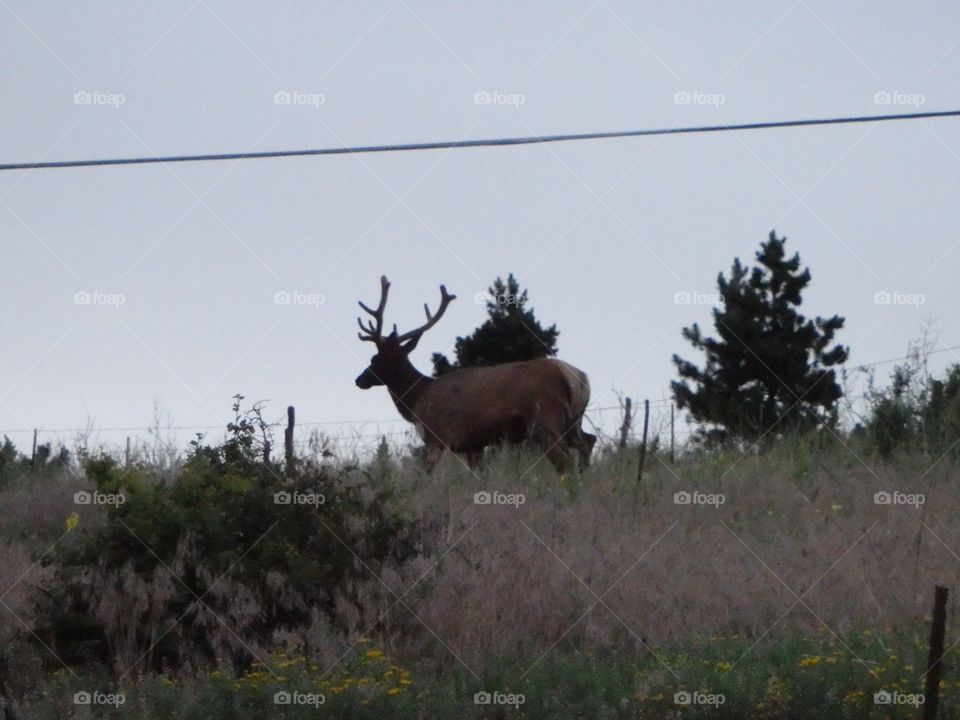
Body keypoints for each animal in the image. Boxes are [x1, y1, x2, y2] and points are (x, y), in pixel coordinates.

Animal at [355, 276, 596, 472]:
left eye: (374, 359)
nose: (359, 380)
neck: (417, 399)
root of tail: (577, 378)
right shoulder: (474, 443)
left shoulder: (438, 436)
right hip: (573, 421)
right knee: (588, 441)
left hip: (546, 419)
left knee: (564, 460)